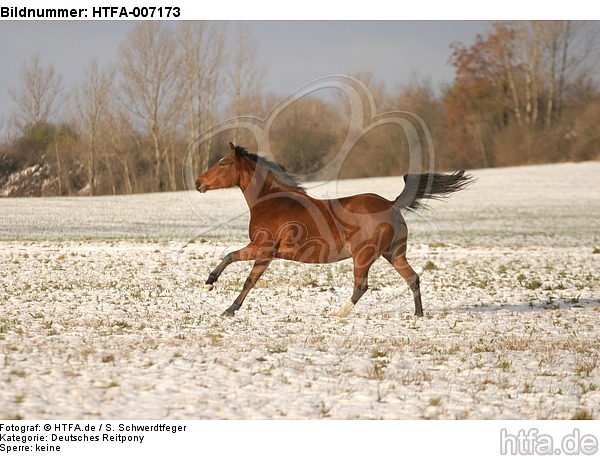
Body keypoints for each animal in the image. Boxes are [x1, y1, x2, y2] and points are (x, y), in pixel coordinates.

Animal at [195, 142, 472, 318]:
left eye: (223, 163)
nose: (198, 182)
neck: (272, 202)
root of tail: (392, 205)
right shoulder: (267, 254)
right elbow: (250, 281)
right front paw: (229, 309)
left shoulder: (262, 247)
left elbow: (230, 257)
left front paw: (209, 285)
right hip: (393, 254)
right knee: (412, 278)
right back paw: (418, 315)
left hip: (363, 256)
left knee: (361, 286)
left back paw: (338, 313)